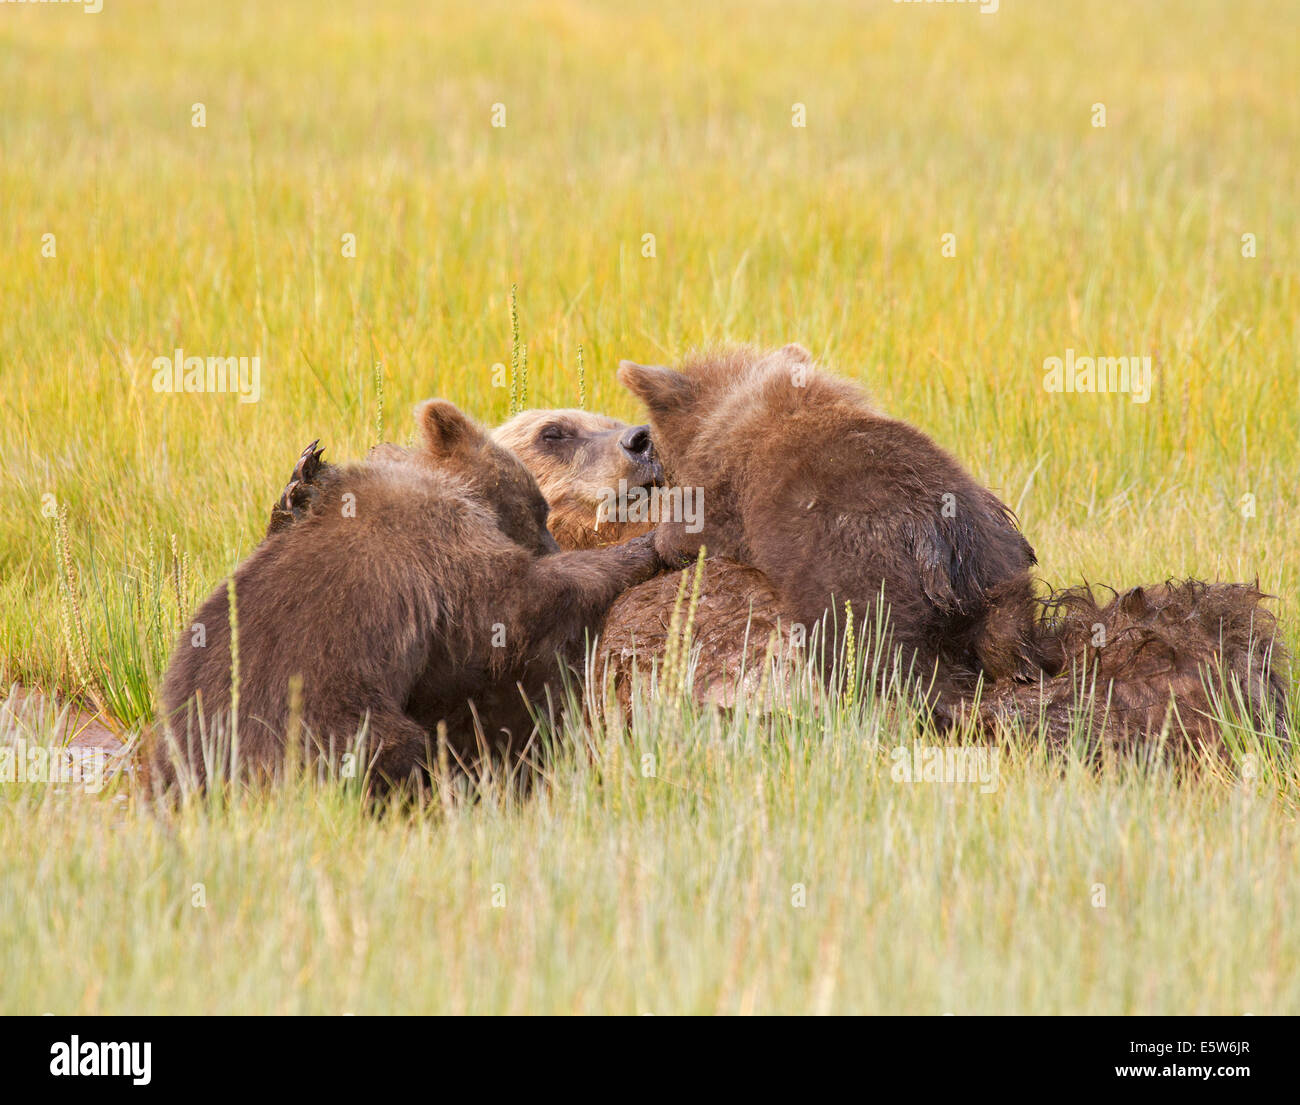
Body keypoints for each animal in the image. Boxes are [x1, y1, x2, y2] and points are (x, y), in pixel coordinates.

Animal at [155, 399, 663, 793]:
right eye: (553, 432)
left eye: (609, 418)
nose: (642, 439)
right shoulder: (446, 556)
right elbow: (517, 608)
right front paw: (648, 547)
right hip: (337, 716)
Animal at [617, 344, 1048, 708]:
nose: (640, 443)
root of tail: (939, 537)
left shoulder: (714, 504)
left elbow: (682, 535)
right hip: (997, 567)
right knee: (1006, 638)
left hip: (856, 580)